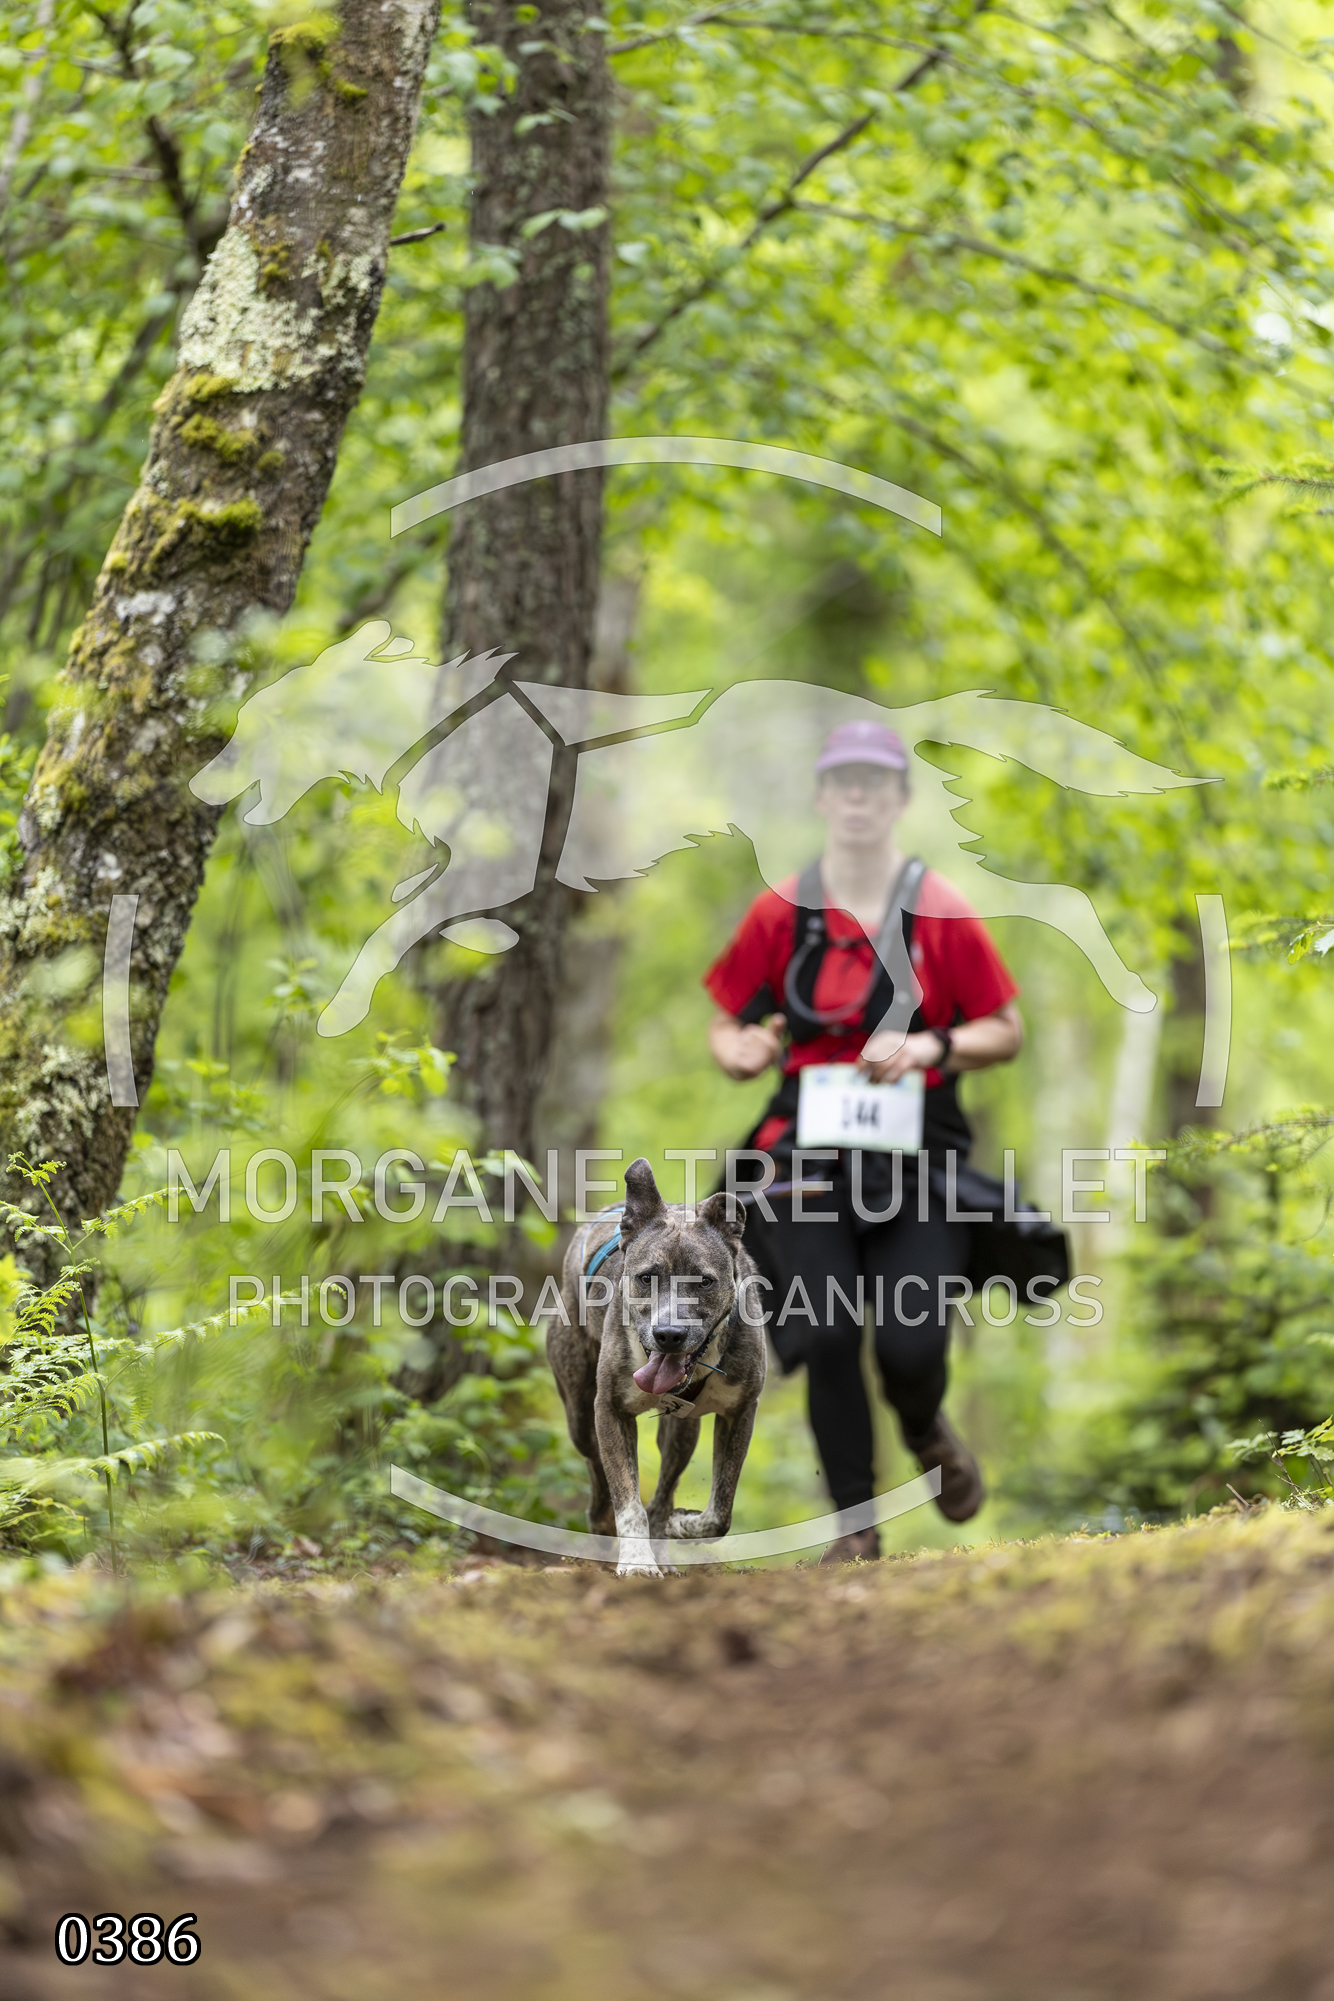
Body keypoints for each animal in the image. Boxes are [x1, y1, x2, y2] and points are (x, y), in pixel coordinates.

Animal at [551, 1157, 769, 1577]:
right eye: (646, 1277)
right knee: (598, 1474)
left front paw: (683, 1525)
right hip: (580, 1415)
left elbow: (720, 1512)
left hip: (682, 1431)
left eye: (704, 1281)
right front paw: (636, 1562)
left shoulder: (740, 1411)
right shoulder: (611, 1409)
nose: (668, 1334)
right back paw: (603, 1524)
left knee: (664, 1490)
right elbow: (627, 1499)